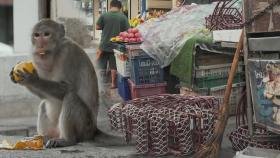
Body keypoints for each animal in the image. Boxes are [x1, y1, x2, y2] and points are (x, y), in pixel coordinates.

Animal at [9, 19, 99, 149]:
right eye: (37, 35)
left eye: (46, 34)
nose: (40, 44)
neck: (55, 53)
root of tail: (94, 131)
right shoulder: (36, 59)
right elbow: (44, 96)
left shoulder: (68, 53)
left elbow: (67, 88)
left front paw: (32, 79)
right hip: (55, 130)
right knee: (43, 104)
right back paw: (42, 137)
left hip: (85, 128)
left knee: (71, 97)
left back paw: (67, 140)